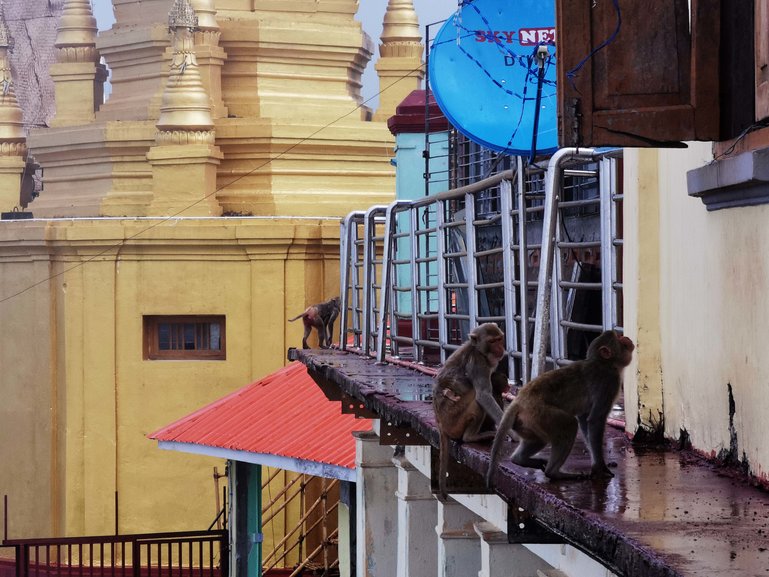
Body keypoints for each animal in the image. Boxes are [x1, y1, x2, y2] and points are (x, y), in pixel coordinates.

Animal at [432, 324, 510, 500]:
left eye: (499, 339)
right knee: (476, 397)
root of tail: (439, 423)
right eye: (492, 341)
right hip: (453, 418)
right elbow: (483, 395)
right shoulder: (478, 363)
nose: (500, 348)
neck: (479, 350)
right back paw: (472, 437)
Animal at [486, 328, 636, 482]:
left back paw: (519, 459)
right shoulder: (609, 382)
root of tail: (518, 402)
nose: (626, 338)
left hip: (526, 423)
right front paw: (600, 467)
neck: (605, 363)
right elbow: (595, 420)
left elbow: (584, 419)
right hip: (539, 414)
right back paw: (554, 473)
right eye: (619, 339)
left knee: (539, 439)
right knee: (569, 424)